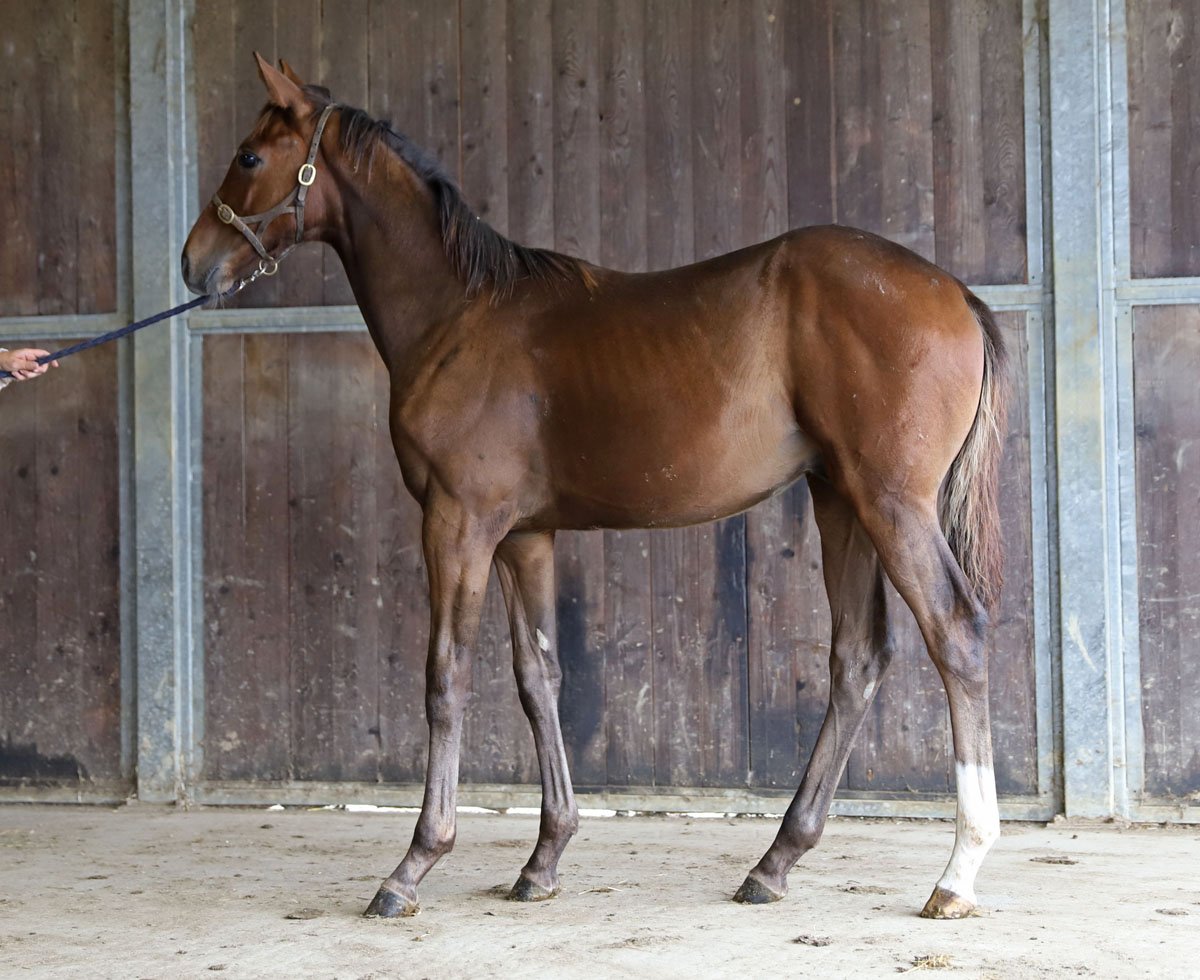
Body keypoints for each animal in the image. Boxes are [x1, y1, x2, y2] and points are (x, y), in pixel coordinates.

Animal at [182, 54, 1009, 922]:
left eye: (247, 156)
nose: (193, 263)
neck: (459, 315)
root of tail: (955, 293)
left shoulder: (457, 524)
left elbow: (446, 678)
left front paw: (412, 865)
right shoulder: (523, 536)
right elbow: (538, 678)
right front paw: (543, 860)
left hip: (890, 505)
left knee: (955, 633)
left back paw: (957, 873)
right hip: (840, 501)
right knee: (857, 656)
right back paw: (775, 862)